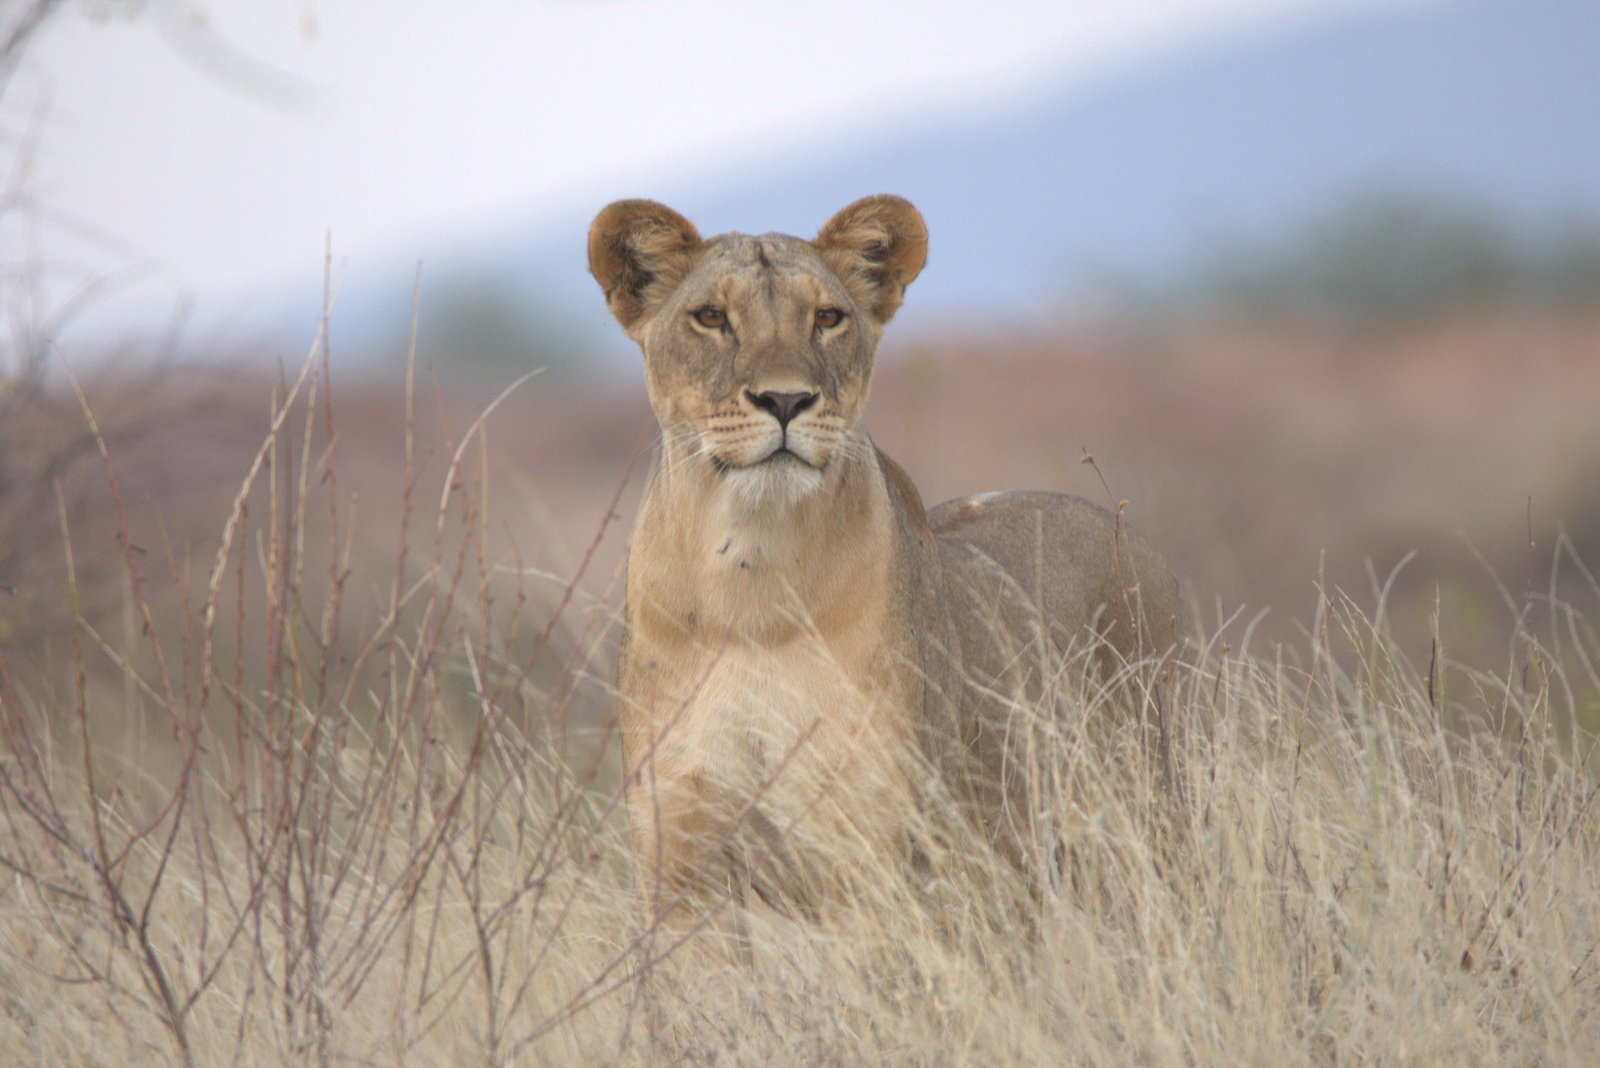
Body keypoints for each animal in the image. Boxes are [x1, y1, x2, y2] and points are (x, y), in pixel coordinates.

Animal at [588, 195, 1182, 915]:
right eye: (710, 317)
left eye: (827, 318)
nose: (785, 400)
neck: (750, 575)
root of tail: (1134, 539)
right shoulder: (679, 866)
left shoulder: (874, 859)